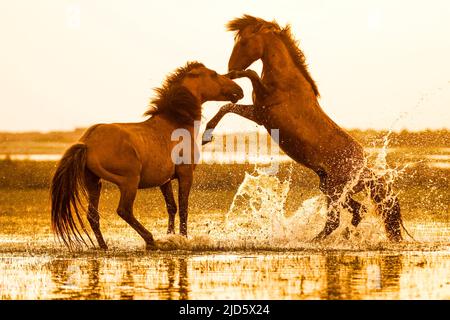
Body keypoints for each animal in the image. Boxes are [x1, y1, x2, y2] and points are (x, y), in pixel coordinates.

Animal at [50, 61, 243, 249]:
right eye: (214, 74)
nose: (239, 91)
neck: (175, 123)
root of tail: (87, 142)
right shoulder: (185, 173)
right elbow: (183, 207)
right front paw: (183, 238)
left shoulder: (165, 180)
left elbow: (171, 207)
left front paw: (171, 236)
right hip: (129, 181)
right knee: (124, 210)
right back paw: (150, 240)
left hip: (93, 182)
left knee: (93, 215)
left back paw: (104, 246)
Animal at [202, 15, 402, 240]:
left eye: (244, 42)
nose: (230, 68)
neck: (285, 79)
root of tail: (363, 166)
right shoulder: (259, 113)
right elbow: (227, 107)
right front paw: (205, 136)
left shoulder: (262, 110)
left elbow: (250, 75)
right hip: (331, 188)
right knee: (357, 212)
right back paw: (342, 236)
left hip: (335, 190)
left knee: (334, 221)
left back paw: (312, 240)